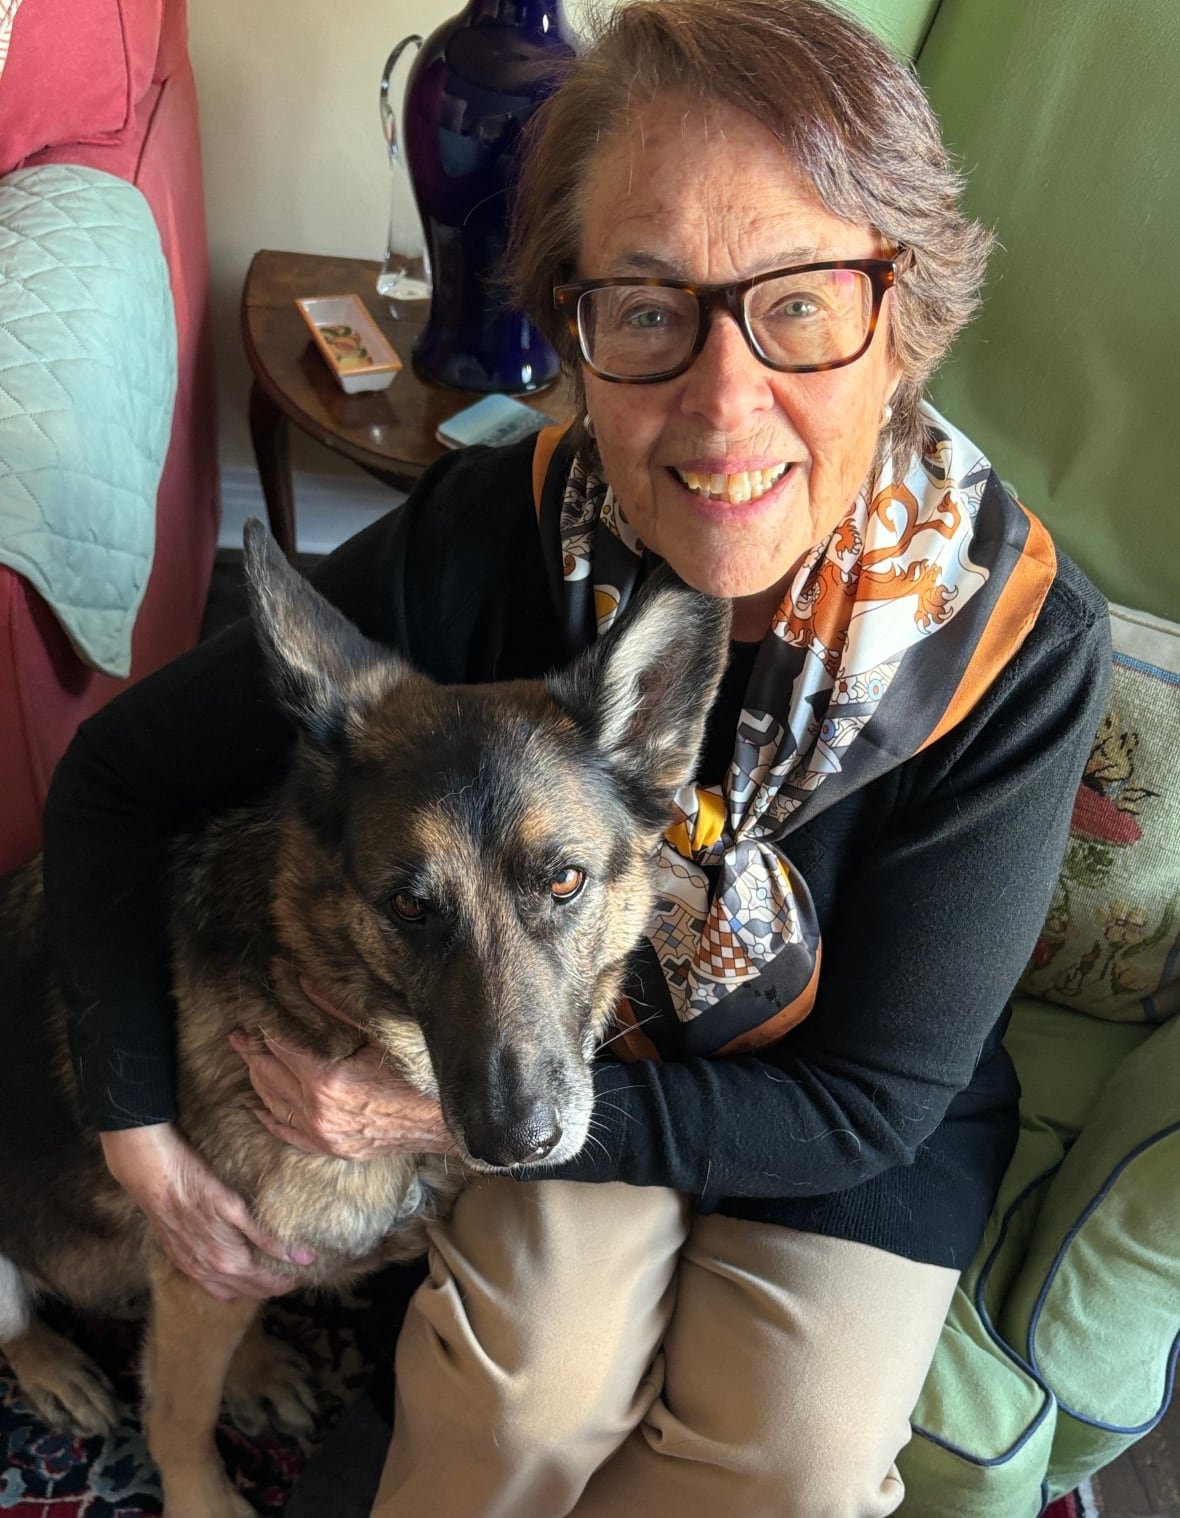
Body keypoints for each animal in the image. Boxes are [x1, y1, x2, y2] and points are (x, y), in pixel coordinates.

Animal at [0, 522, 725, 1518]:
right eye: (409, 907)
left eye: (565, 881)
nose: (514, 1140)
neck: (336, 1007)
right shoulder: (194, 1258)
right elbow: (177, 1419)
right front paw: (201, 1495)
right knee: (27, 1326)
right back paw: (60, 1365)